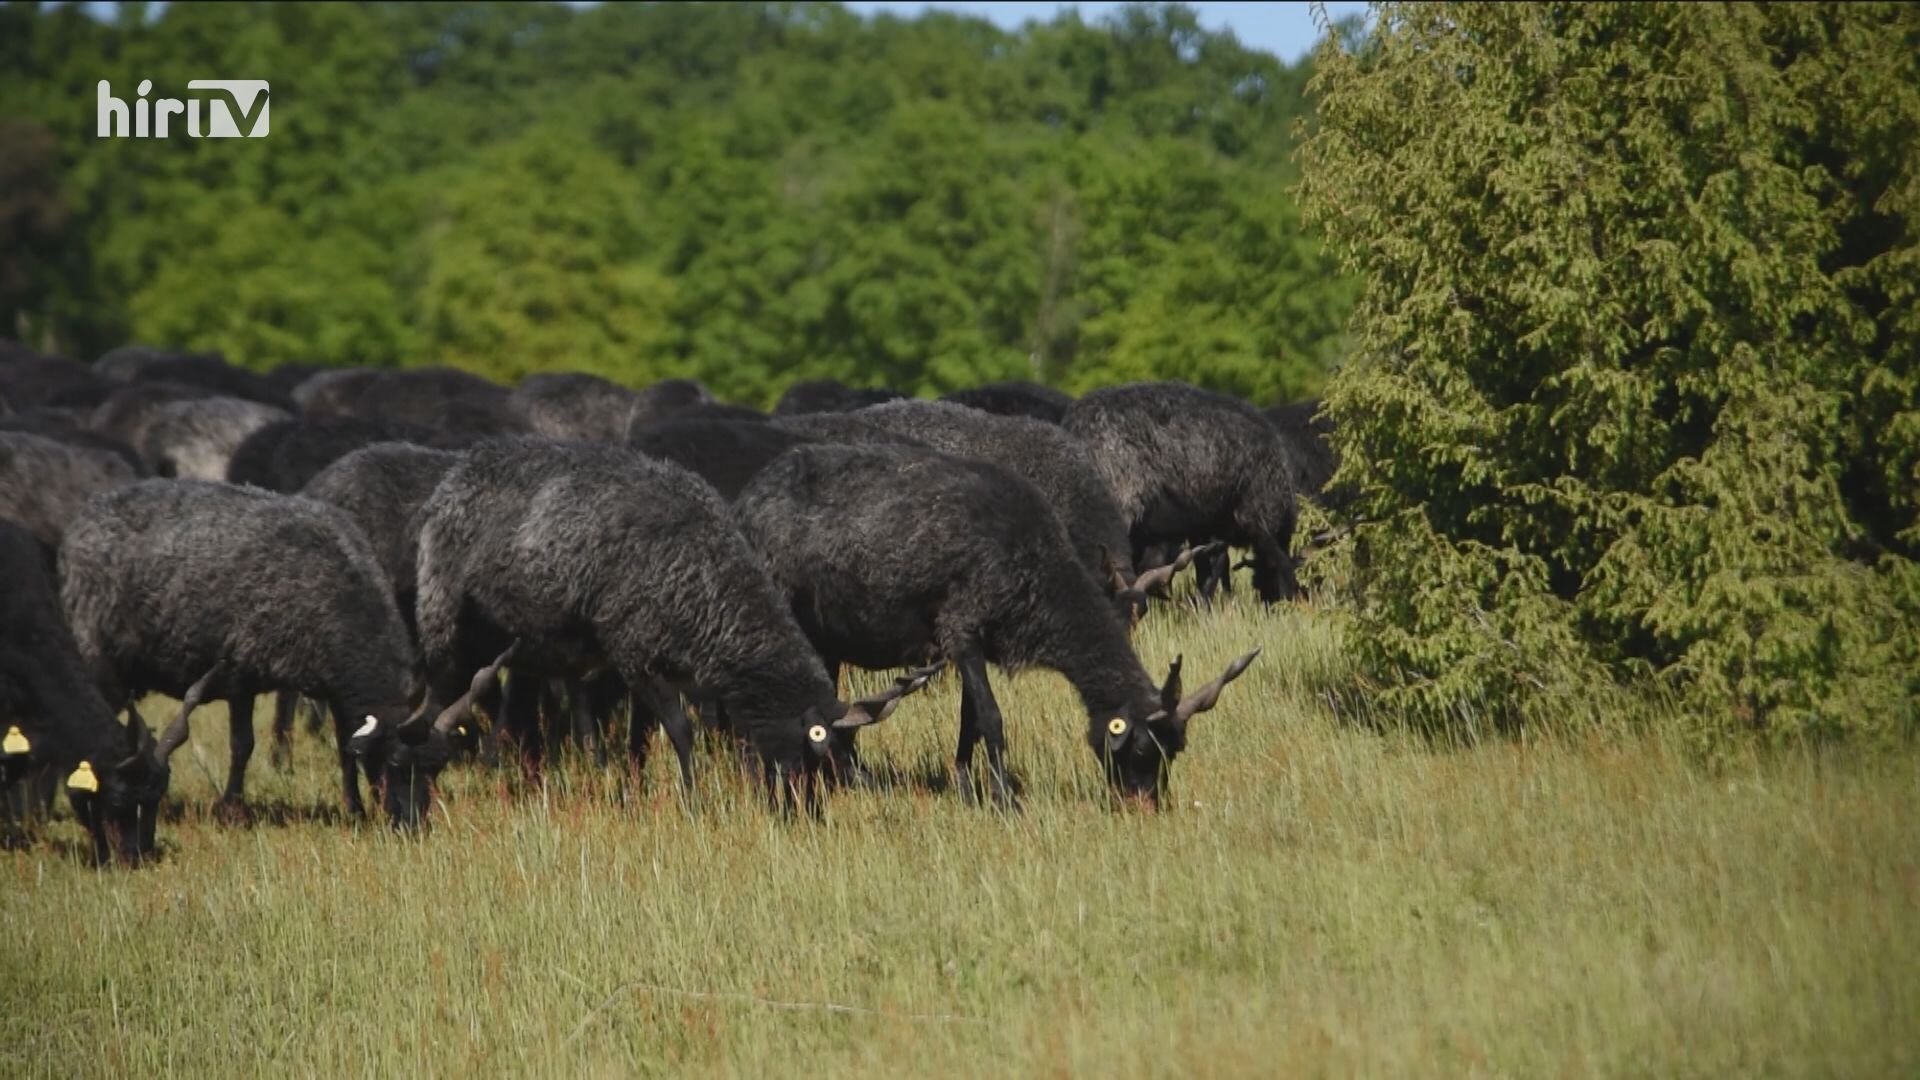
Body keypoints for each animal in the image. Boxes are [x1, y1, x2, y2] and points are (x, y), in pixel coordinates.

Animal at [58, 478, 418, 814]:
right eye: (396, 761)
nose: (410, 822)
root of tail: (82, 520)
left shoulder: (333, 688)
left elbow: (344, 746)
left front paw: (354, 807)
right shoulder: (240, 674)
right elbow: (243, 745)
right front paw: (231, 806)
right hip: (96, 654)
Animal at [733, 440, 1259, 807]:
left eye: (1176, 752)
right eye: (1145, 751)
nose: (1143, 804)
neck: (1036, 571)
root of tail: (748, 497)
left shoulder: (979, 642)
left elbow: (968, 720)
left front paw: (968, 786)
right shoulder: (961, 628)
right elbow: (991, 717)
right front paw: (1005, 797)